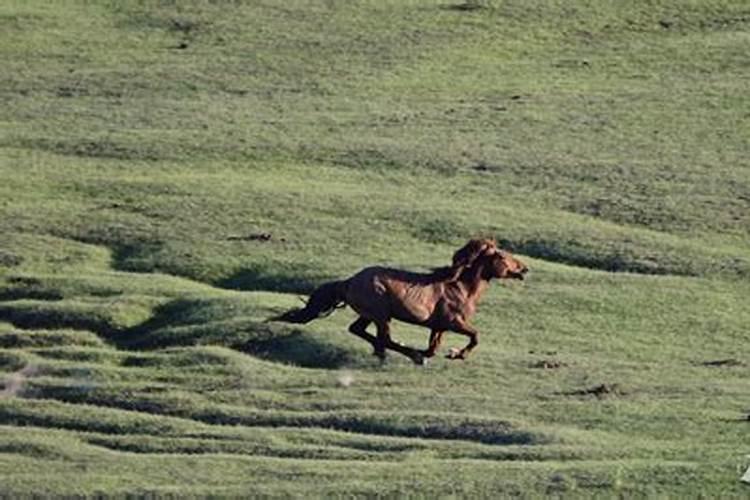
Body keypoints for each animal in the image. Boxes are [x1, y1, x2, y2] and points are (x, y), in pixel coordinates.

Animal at [272, 238, 528, 364]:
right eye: (502, 256)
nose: (525, 269)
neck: (459, 288)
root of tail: (349, 281)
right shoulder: (453, 322)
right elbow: (475, 336)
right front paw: (456, 354)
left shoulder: (438, 326)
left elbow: (433, 347)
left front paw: (440, 353)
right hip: (381, 315)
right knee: (384, 337)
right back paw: (407, 354)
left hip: (370, 315)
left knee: (358, 330)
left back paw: (383, 353)